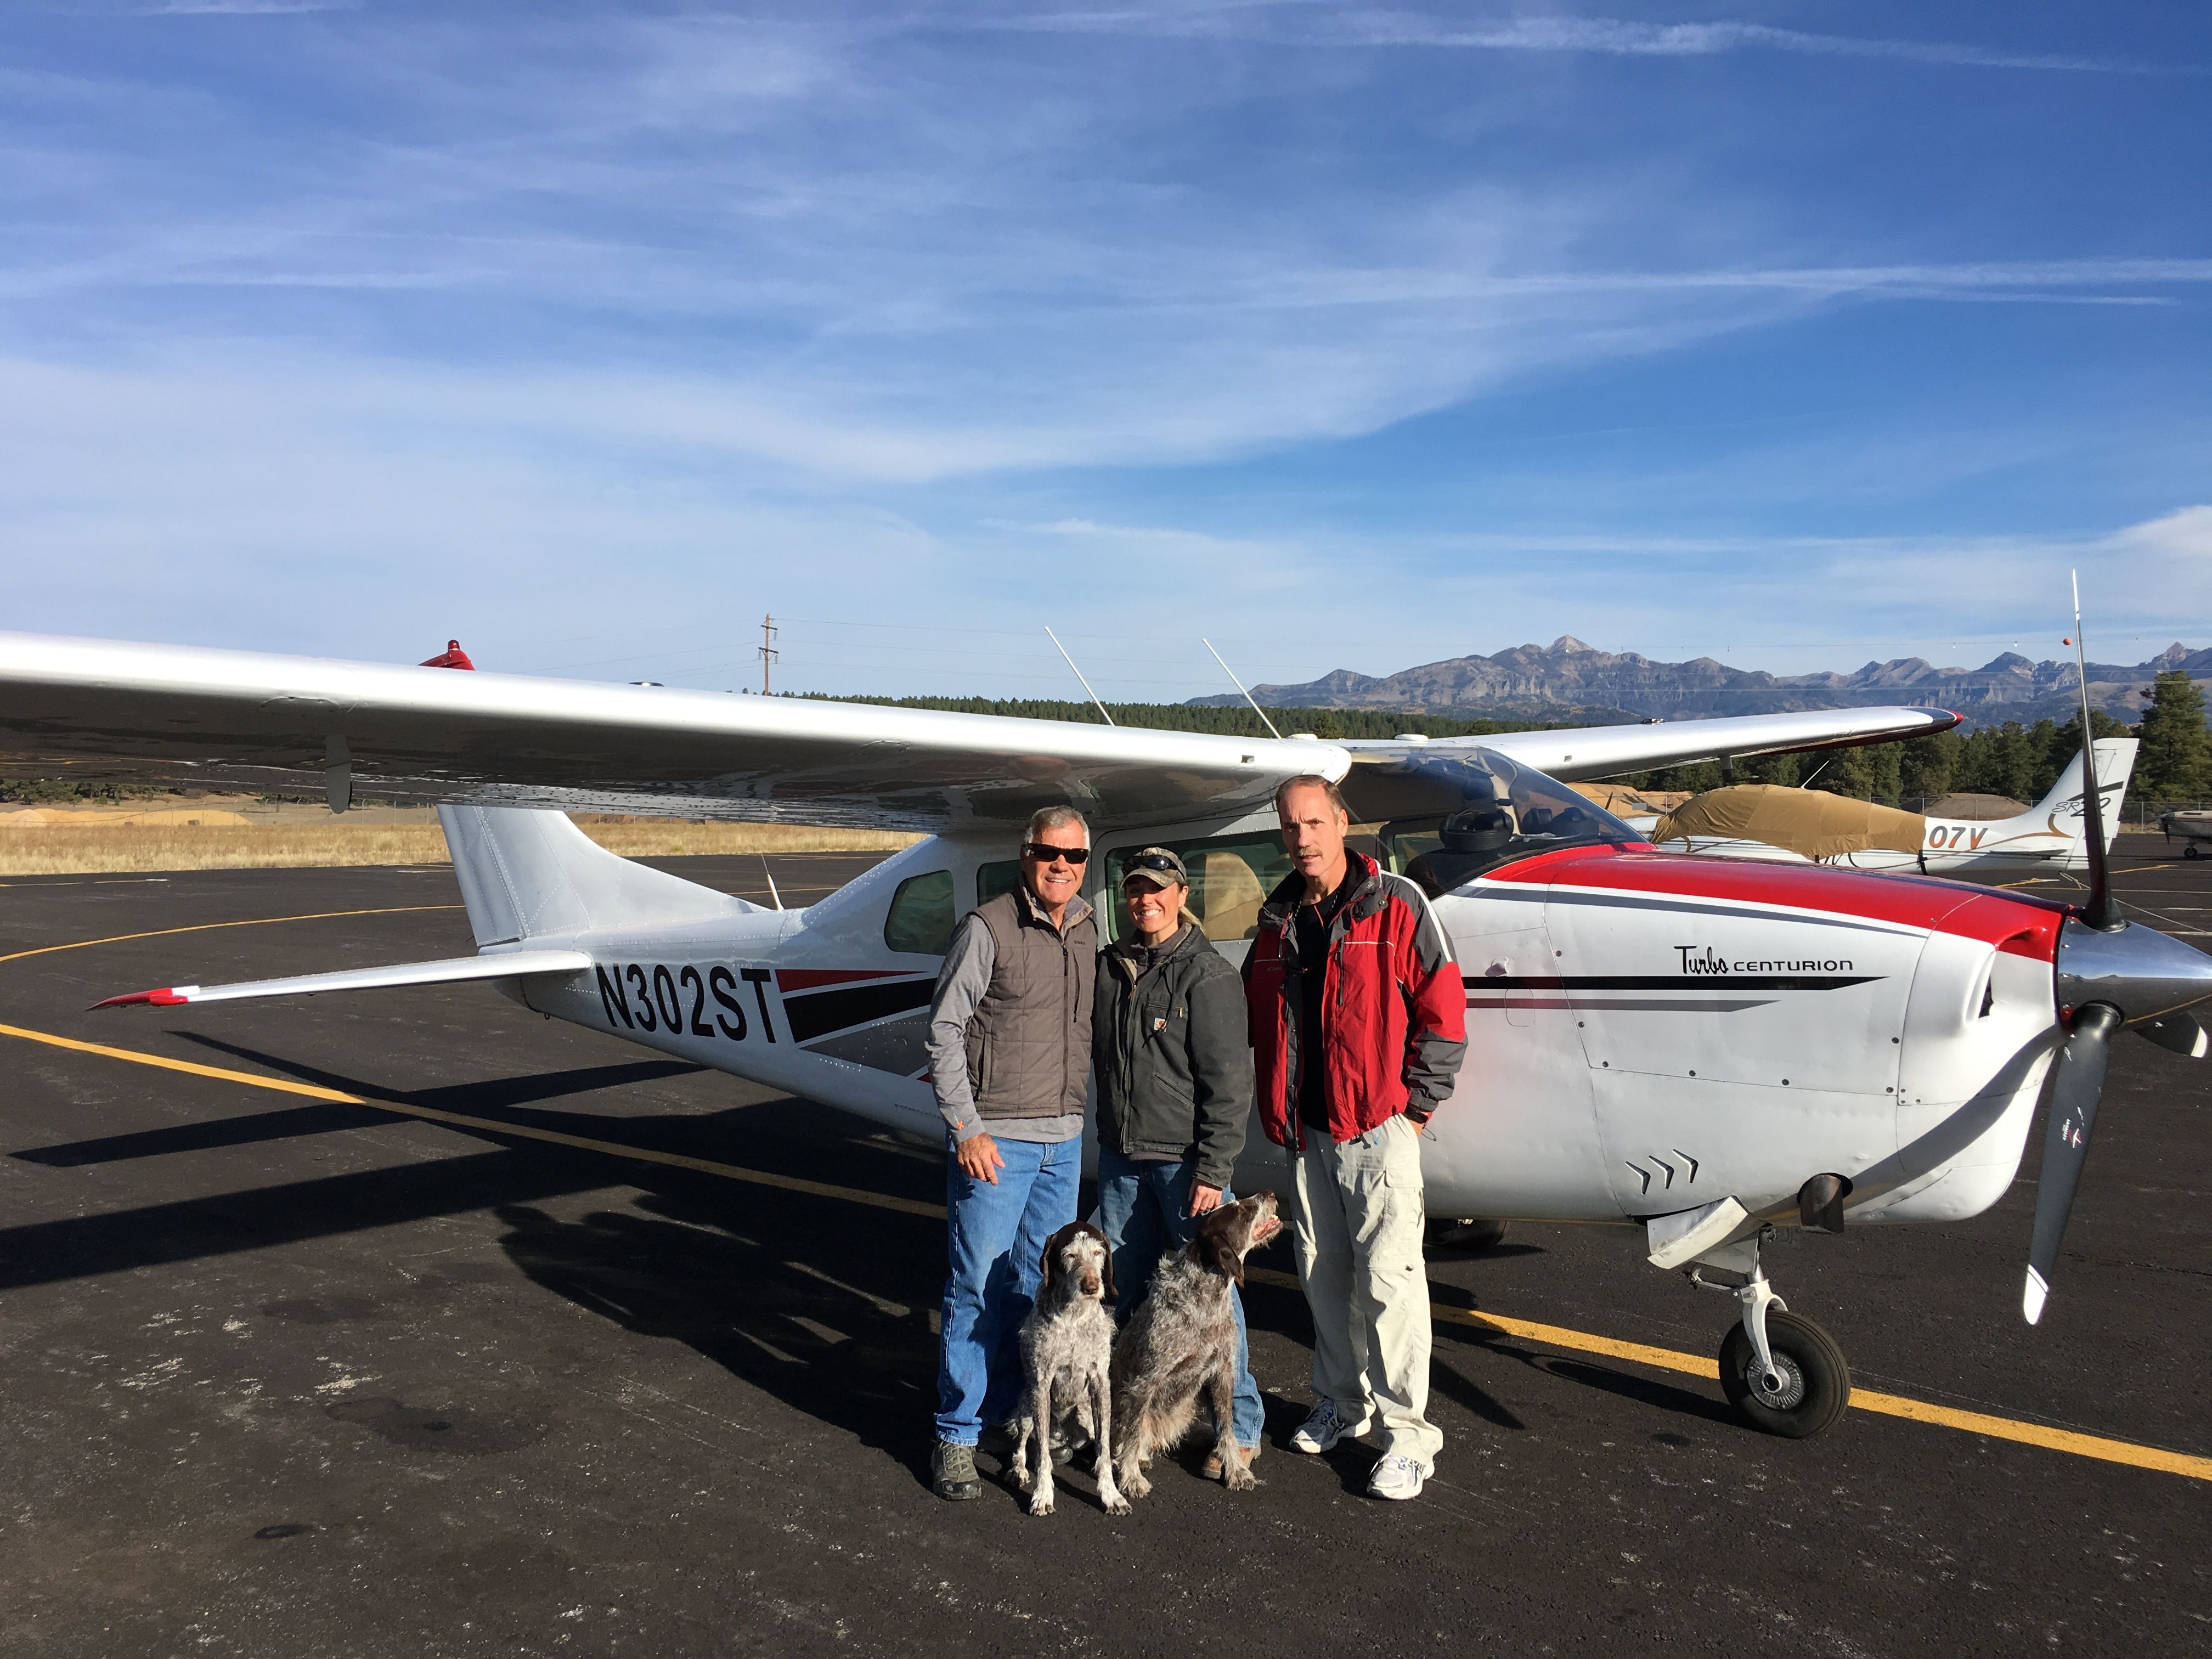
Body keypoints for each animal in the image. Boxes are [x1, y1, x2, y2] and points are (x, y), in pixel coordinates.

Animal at [1013, 1221, 1132, 1522]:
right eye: (1069, 1256)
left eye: (1098, 1253)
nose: (1091, 1286)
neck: (1074, 1317)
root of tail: (1063, 1436)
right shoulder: (1041, 1384)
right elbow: (1042, 1456)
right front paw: (1043, 1495)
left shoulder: (1101, 1384)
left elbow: (1103, 1448)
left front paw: (1111, 1494)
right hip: (1026, 1410)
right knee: (1023, 1444)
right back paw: (1018, 1470)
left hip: (1087, 1418)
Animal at [1115, 1186, 1291, 1504]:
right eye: (1239, 1210)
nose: (1270, 1193)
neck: (1206, 1302)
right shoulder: (1144, 1382)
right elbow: (1132, 1434)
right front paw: (1131, 1478)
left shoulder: (1222, 1373)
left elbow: (1227, 1429)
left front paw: (1235, 1471)